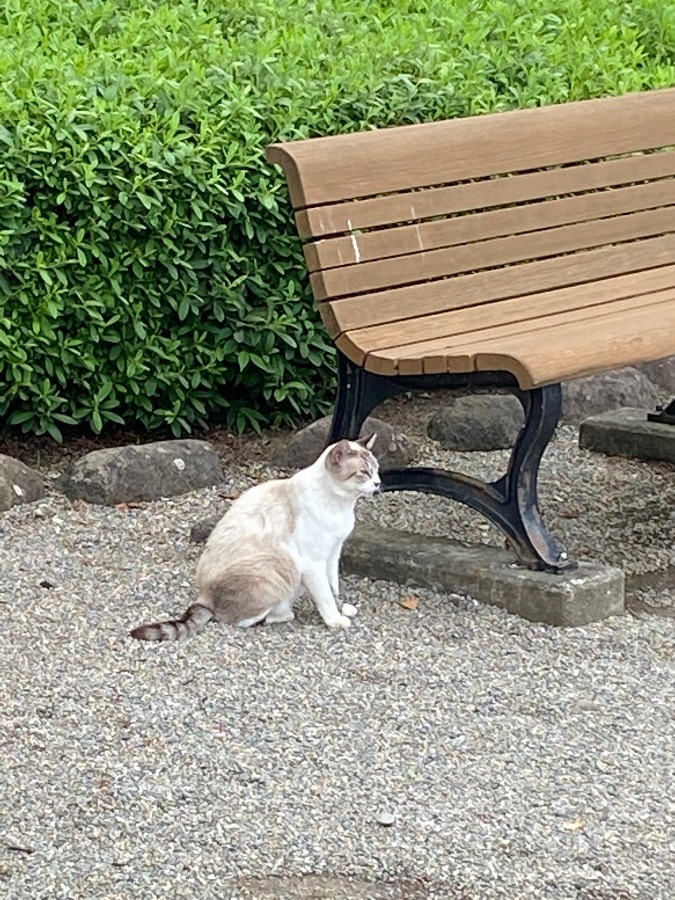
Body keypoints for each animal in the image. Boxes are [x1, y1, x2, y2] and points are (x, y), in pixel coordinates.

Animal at [131, 434, 380, 640]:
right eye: (364, 473)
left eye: (377, 469)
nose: (378, 484)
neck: (341, 506)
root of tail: (203, 595)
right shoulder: (313, 563)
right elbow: (325, 595)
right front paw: (335, 620)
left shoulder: (332, 554)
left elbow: (333, 587)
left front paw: (342, 608)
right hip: (274, 567)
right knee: (238, 619)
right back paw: (282, 614)